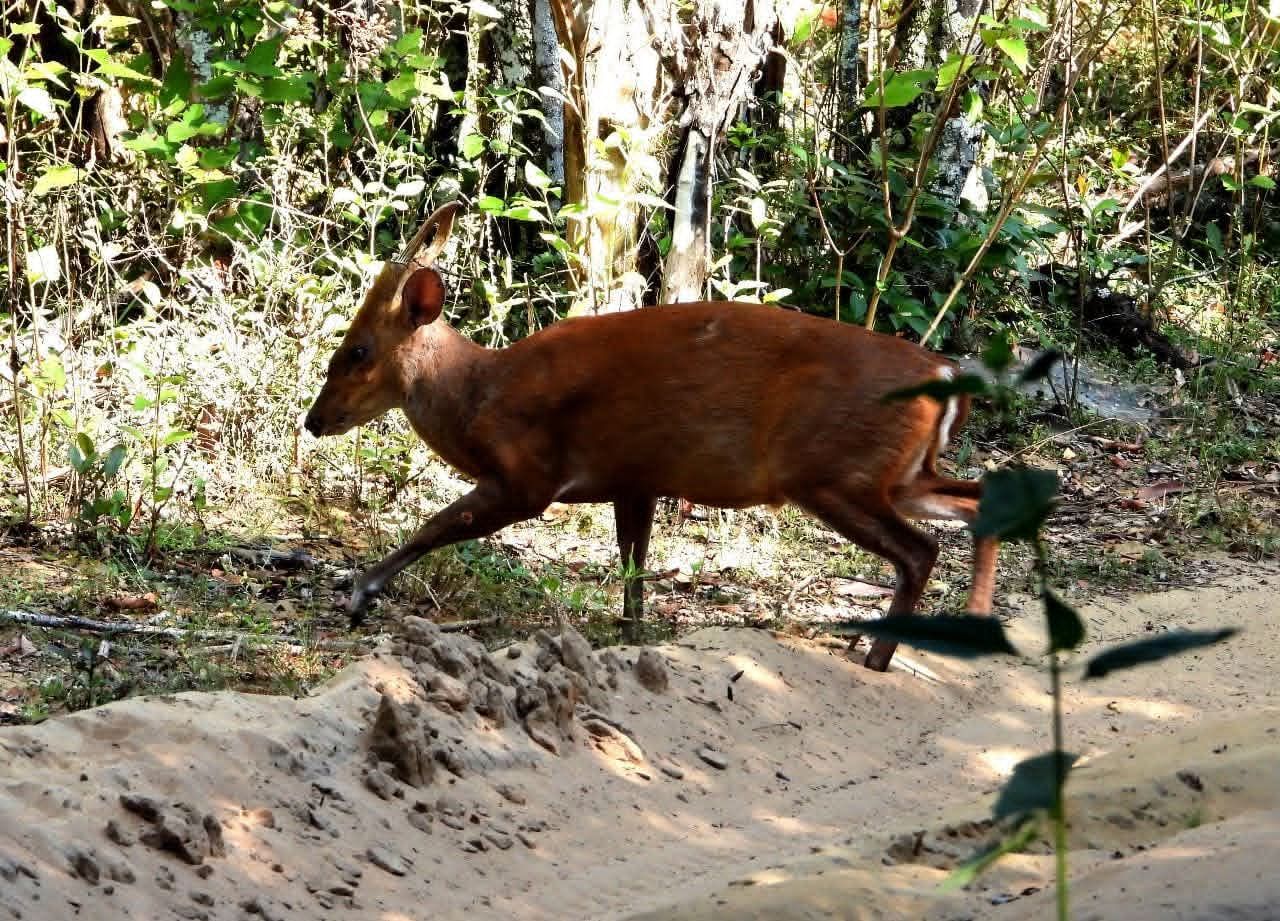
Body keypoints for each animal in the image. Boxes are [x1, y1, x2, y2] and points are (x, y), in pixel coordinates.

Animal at [304, 202, 998, 671]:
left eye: (357, 351)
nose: (314, 420)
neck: (479, 395)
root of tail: (945, 374)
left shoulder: (529, 476)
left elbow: (437, 524)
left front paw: (360, 594)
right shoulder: (633, 477)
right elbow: (634, 561)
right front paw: (633, 636)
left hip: (831, 472)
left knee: (919, 550)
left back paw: (878, 656)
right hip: (896, 474)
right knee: (978, 498)